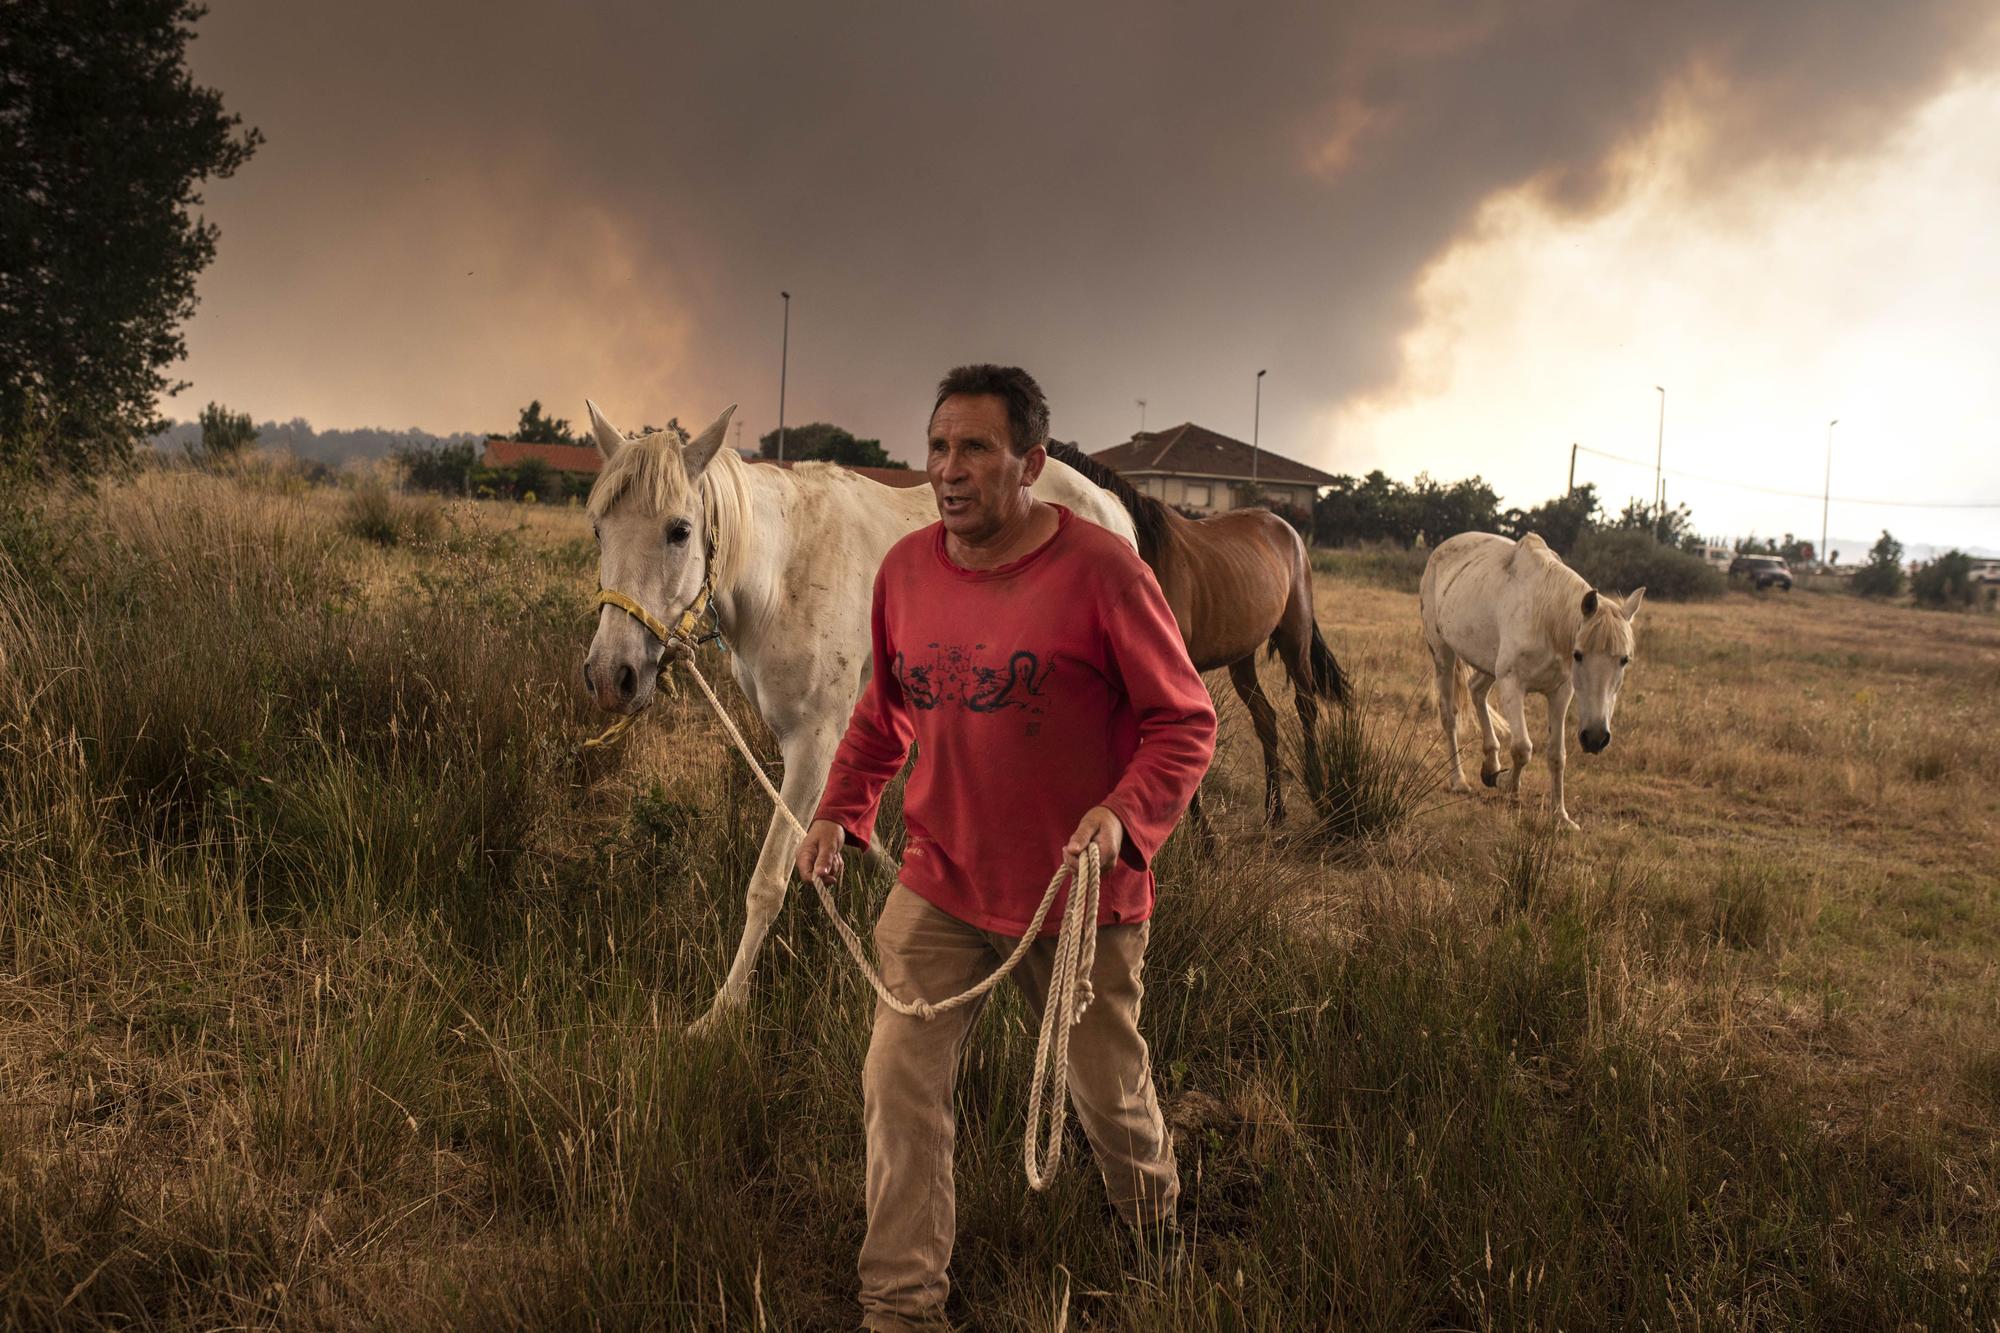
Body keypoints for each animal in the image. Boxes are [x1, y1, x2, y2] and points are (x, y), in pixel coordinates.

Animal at [584, 400, 1144, 1020]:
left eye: (679, 530)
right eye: (599, 529)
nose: (610, 675)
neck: (782, 575)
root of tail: (1107, 503)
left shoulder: (814, 742)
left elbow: (768, 881)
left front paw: (723, 1010)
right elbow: (854, 828)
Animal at [1048, 446, 1360, 820]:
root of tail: (1289, 531)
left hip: (1294, 637)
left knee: (1306, 707)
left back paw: (1318, 794)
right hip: (1242, 656)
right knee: (1266, 719)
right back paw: (1275, 811)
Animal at [1424, 528, 1640, 820]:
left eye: (1624, 660)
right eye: (1578, 654)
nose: (1596, 738)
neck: (1544, 617)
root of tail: (1441, 549)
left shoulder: (1561, 692)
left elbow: (1557, 755)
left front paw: (1560, 816)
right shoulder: (1512, 684)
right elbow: (1522, 748)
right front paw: (1505, 782)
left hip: (1490, 664)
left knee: (1476, 689)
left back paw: (1490, 763)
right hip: (1444, 654)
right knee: (1449, 716)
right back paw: (1459, 781)